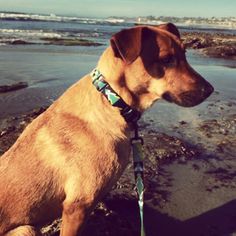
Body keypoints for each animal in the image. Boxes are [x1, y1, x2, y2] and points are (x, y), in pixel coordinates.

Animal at [0, 23, 213, 235]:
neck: (112, 100)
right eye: (166, 59)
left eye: (185, 54)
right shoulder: (77, 206)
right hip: (26, 229)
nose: (210, 90)